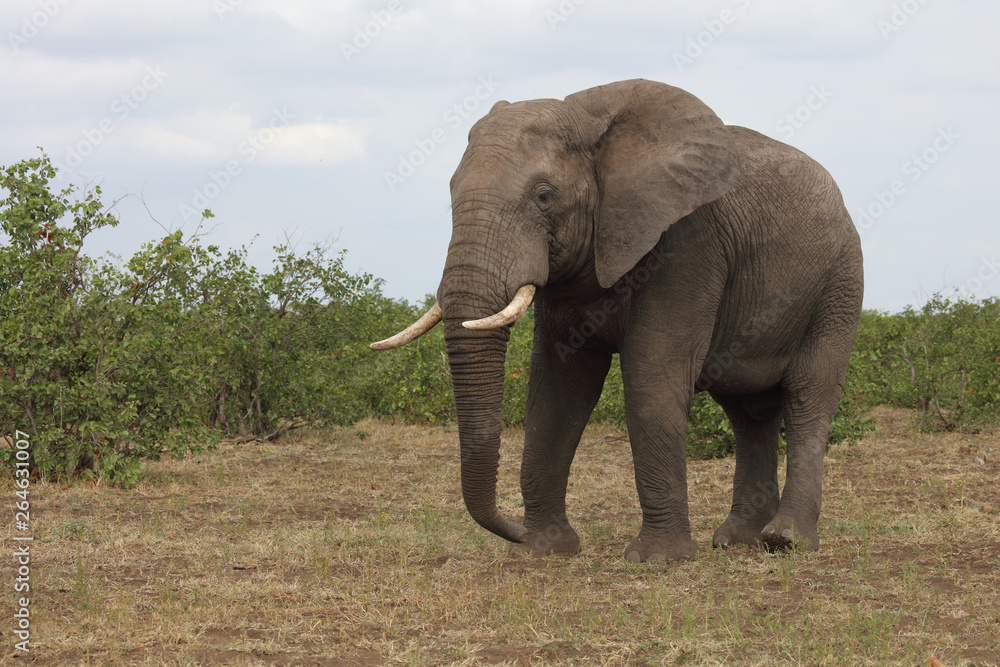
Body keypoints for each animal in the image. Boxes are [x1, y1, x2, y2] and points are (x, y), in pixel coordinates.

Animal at [372, 81, 864, 568]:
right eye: (451, 191)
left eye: (544, 196)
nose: (513, 530)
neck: (590, 119)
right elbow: (559, 389)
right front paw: (544, 549)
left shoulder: (689, 243)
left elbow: (652, 374)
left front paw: (658, 560)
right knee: (747, 412)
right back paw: (737, 541)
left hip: (840, 284)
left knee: (808, 396)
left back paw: (786, 541)